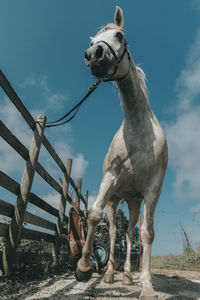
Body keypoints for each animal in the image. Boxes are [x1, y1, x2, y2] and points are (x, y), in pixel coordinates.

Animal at [75, 6, 167, 298]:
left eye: (119, 35)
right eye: (94, 40)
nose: (93, 55)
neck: (138, 130)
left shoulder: (152, 189)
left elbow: (147, 234)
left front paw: (147, 286)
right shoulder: (110, 178)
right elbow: (93, 215)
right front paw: (83, 268)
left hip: (134, 202)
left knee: (128, 235)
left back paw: (126, 275)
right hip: (115, 200)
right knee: (115, 233)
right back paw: (110, 273)